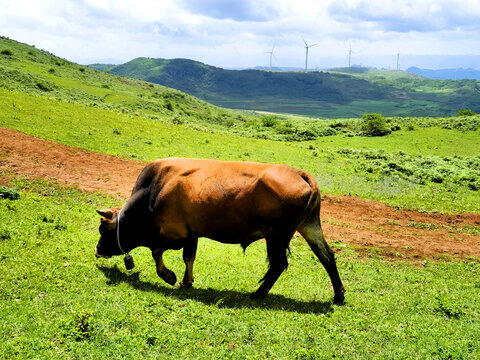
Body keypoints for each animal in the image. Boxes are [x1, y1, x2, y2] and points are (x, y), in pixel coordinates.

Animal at [95, 159, 344, 302]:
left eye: (103, 230)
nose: (97, 251)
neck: (154, 191)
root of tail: (300, 173)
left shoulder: (174, 233)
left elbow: (156, 252)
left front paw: (169, 276)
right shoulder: (192, 233)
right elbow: (189, 257)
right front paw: (186, 281)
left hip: (277, 235)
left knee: (279, 264)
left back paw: (258, 294)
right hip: (309, 226)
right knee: (327, 257)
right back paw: (339, 295)